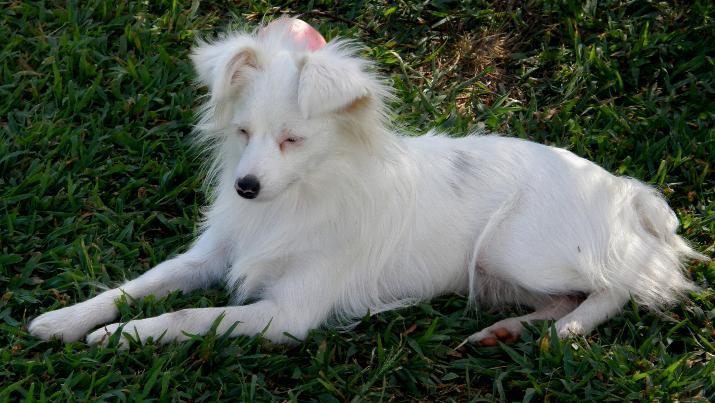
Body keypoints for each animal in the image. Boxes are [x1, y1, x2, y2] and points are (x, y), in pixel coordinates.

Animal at [26, 18, 704, 348]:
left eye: (293, 140)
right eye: (243, 133)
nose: (245, 188)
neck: (297, 198)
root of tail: (623, 190)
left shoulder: (285, 315)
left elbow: (189, 314)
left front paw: (124, 336)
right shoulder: (212, 255)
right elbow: (142, 284)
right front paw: (67, 320)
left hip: (519, 247)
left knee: (625, 283)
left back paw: (570, 330)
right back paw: (507, 330)